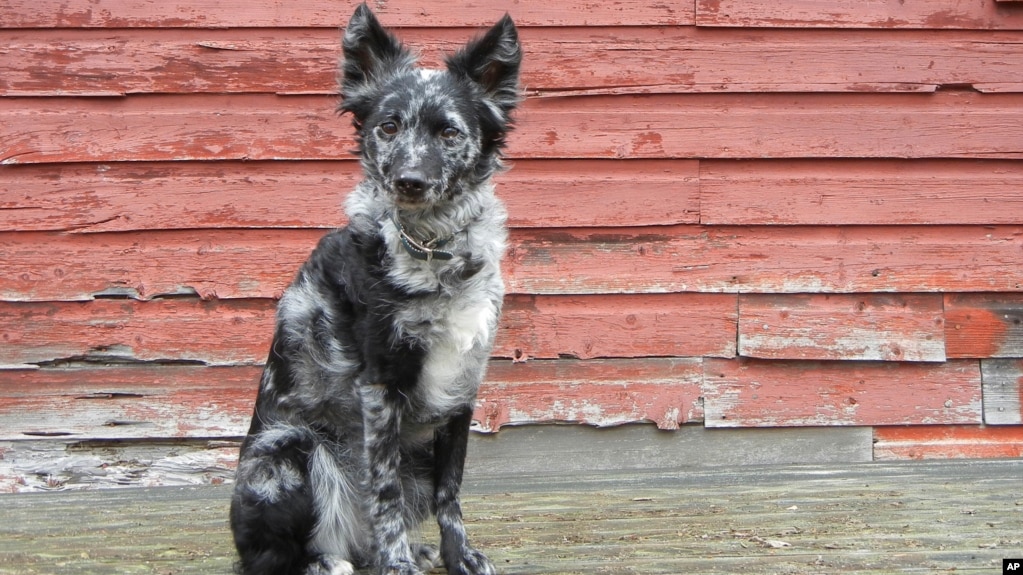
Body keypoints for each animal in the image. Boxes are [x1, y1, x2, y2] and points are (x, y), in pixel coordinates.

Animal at [230, 5, 519, 572]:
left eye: (449, 133)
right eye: (388, 127)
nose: (409, 180)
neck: (431, 249)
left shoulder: (462, 388)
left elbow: (450, 492)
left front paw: (457, 555)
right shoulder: (380, 386)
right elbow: (383, 492)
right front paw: (397, 563)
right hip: (289, 449)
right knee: (274, 556)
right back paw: (328, 561)